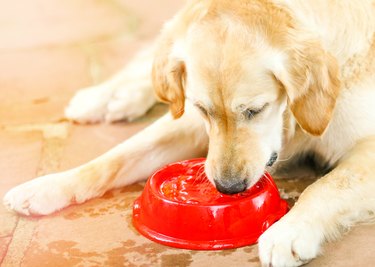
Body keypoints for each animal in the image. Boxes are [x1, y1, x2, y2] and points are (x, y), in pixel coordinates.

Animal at [2, 0, 375, 266]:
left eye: (255, 110)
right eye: (203, 109)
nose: (227, 188)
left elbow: (327, 186)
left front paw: (289, 231)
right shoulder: (190, 122)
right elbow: (115, 157)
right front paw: (47, 186)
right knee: (156, 63)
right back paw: (104, 97)